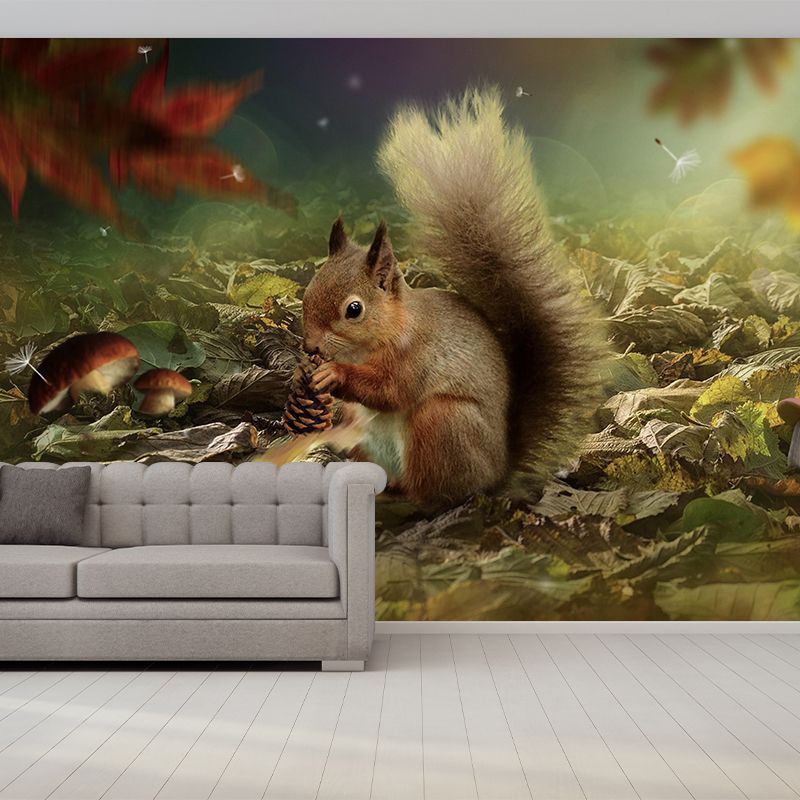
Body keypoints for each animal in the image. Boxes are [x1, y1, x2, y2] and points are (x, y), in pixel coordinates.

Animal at [301, 87, 606, 505]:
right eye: (308, 290)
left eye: (354, 309)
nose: (311, 346)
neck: (390, 328)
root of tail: (498, 470)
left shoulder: (415, 358)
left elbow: (389, 391)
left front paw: (334, 374)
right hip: (367, 441)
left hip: (443, 422)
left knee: (434, 493)